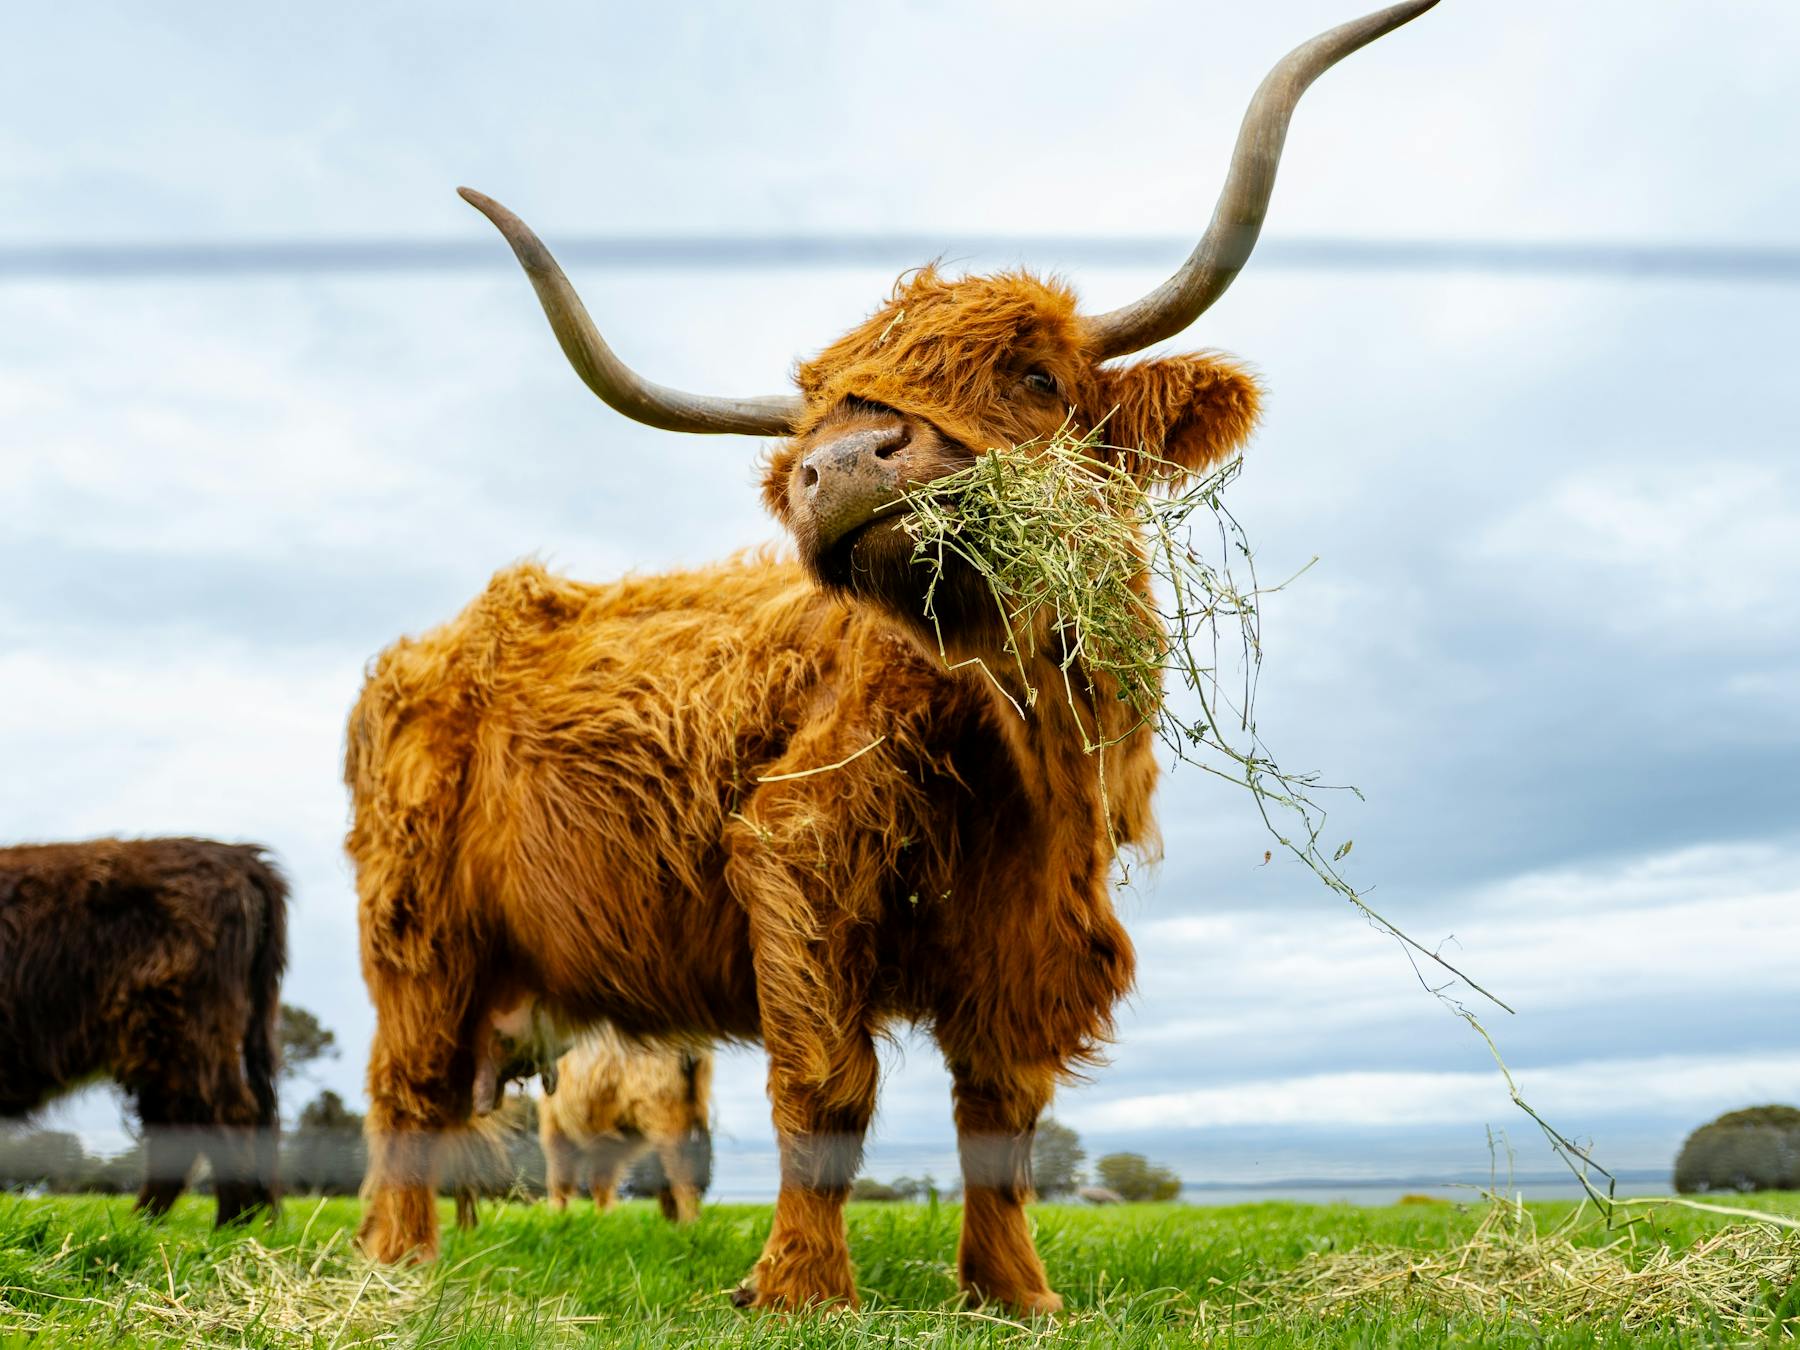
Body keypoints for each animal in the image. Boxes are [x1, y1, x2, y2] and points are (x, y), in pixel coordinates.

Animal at [0, 837, 286, 1223]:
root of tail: (237, 854)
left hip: (188, 1039)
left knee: (230, 1118)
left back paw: (228, 1227)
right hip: (165, 1054)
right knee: (180, 1130)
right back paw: (143, 1225)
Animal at [538, 1029, 713, 1223]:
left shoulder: (555, 1125)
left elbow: (561, 1180)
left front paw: (556, 1218)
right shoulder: (606, 1141)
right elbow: (601, 1183)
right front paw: (603, 1220)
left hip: (665, 1113)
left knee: (683, 1170)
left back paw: (689, 1223)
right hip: (692, 1108)